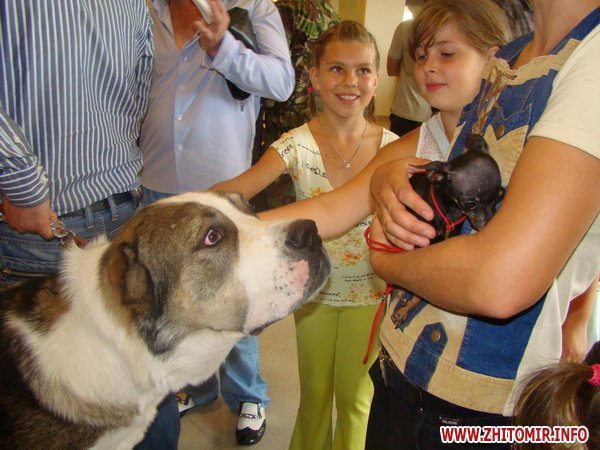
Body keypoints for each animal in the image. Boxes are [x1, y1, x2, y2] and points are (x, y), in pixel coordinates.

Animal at [391, 134, 504, 325]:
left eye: (500, 197)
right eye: (471, 204)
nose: (490, 226)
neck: (449, 213)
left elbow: (419, 294)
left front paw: (405, 309)